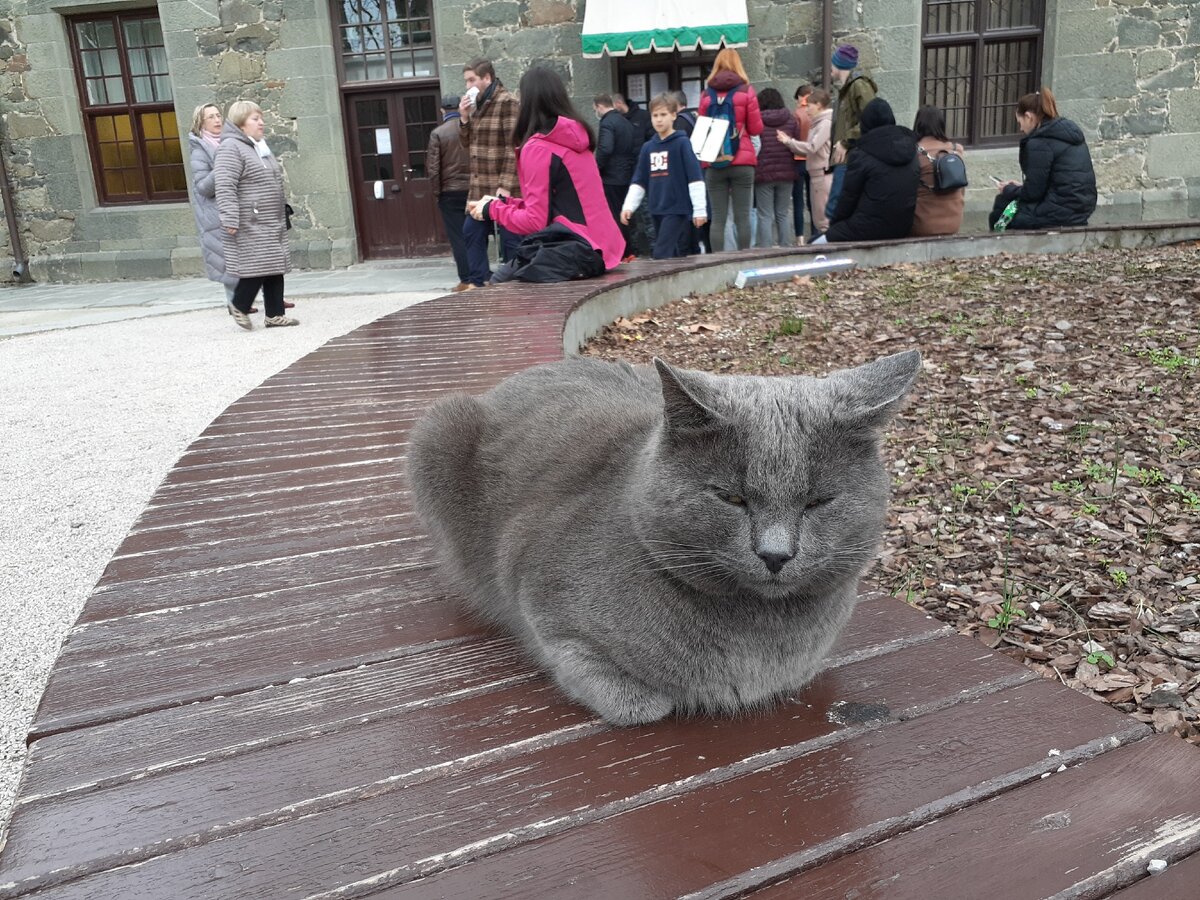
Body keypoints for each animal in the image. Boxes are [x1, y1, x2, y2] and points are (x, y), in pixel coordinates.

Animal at [408, 348, 921, 729]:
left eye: (818, 501)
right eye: (731, 498)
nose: (775, 554)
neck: (760, 639)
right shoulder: (535, 589)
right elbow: (608, 684)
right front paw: (646, 699)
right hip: (437, 429)